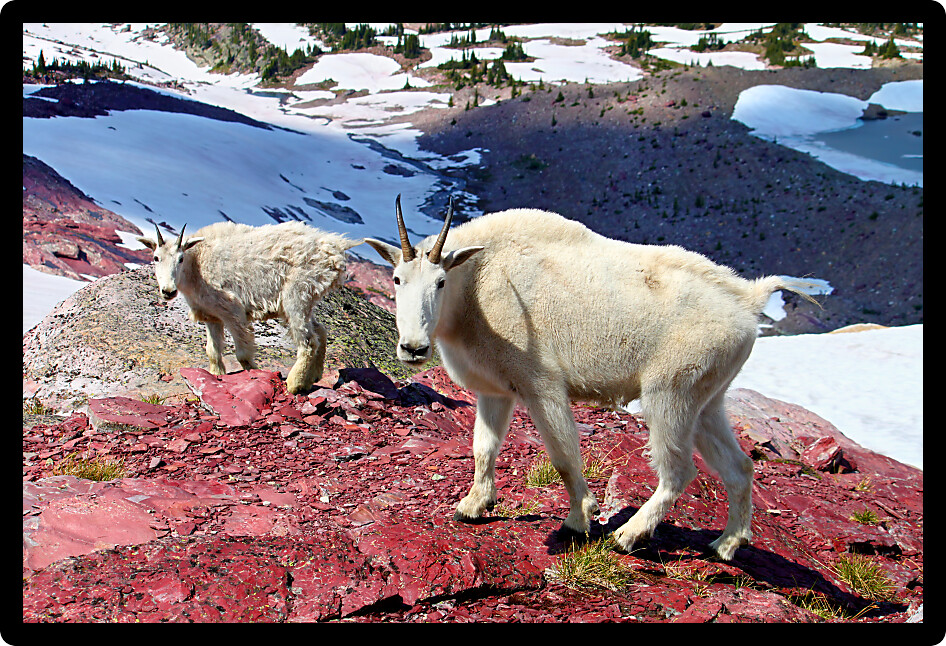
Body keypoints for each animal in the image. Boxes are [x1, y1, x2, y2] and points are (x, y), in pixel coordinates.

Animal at [137, 221, 361, 394]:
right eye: (156, 258)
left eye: (180, 258)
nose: (168, 291)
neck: (197, 264)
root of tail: (335, 246)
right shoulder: (212, 316)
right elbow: (212, 351)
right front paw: (216, 376)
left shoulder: (232, 311)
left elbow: (243, 354)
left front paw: (256, 372)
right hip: (303, 300)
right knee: (320, 330)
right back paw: (313, 377)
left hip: (297, 294)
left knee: (308, 341)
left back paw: (294, 384)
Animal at [364, 196, 820, 560]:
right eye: (397, 279)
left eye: (441, 281)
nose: (413, 348)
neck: (475, 283)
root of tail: (749, 301)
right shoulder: (496, 390)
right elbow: (483, 448)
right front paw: (473, 506)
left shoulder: (541, 384)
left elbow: (564, 456)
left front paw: (579, 519)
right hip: (708, 397)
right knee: (739, 466)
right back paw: (726, 545)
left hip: (671, 391)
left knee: (678, 470)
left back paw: (628, 535)